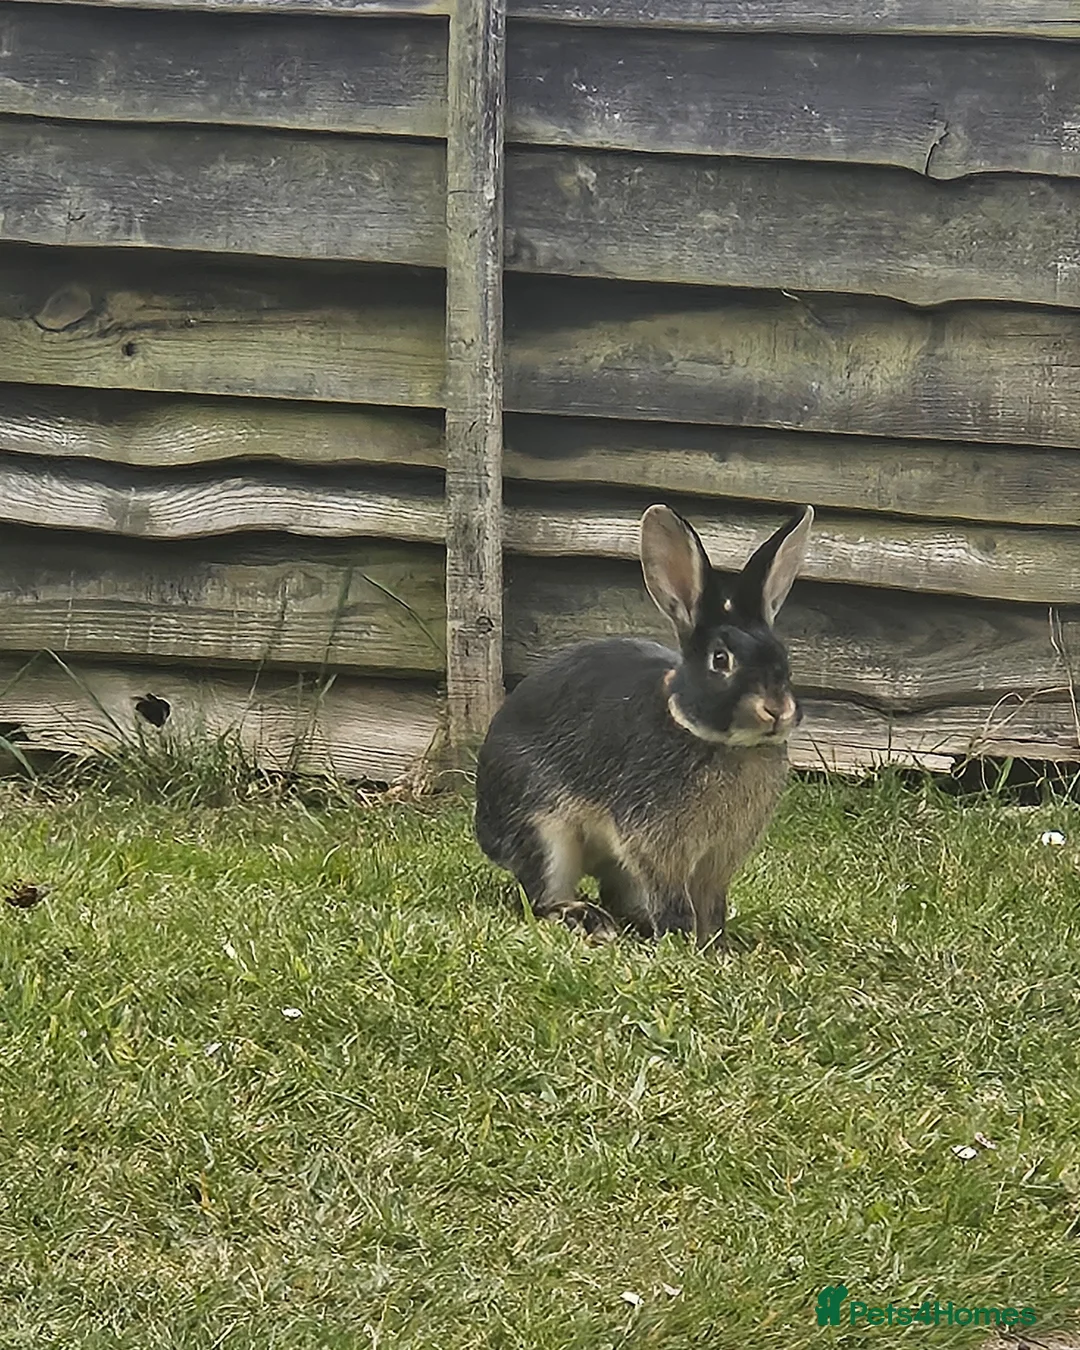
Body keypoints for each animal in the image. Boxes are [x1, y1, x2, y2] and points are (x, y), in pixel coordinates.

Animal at [474, 502, 814, 948]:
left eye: (783, 658)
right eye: (720, 660)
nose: (776, 709)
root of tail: (485, 829)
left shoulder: (716, 860)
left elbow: (711, 902)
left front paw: (716, 945)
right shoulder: (656, 844)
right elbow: (673, 895)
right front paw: (683, 938)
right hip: (545, 832)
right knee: (542, 895)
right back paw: (589, 920)